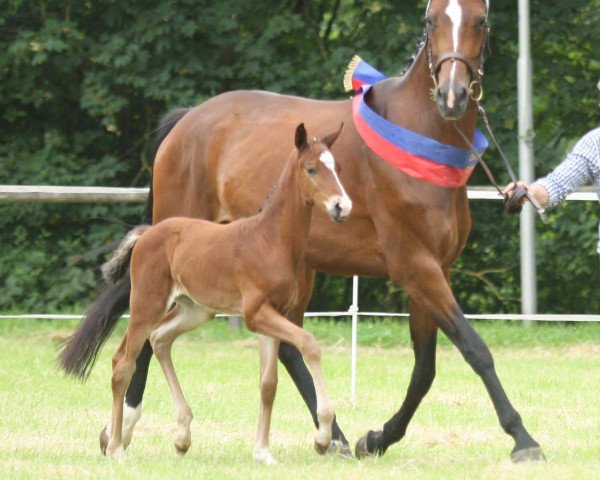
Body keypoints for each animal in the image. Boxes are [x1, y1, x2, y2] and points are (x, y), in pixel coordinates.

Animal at [100, 122, 350, 464]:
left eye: (336, 167)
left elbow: (268, 384)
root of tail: (146, 233)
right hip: (147, 304)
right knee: (123, 362)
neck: (272, 240)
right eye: (311, 168)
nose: (342, 206)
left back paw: (182, 436)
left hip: (195, 309)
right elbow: (310, 345)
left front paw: (262, 452)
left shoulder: (274, 314)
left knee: (160, 339)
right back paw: (115, 449)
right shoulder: (256, 314)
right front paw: (323, 438)